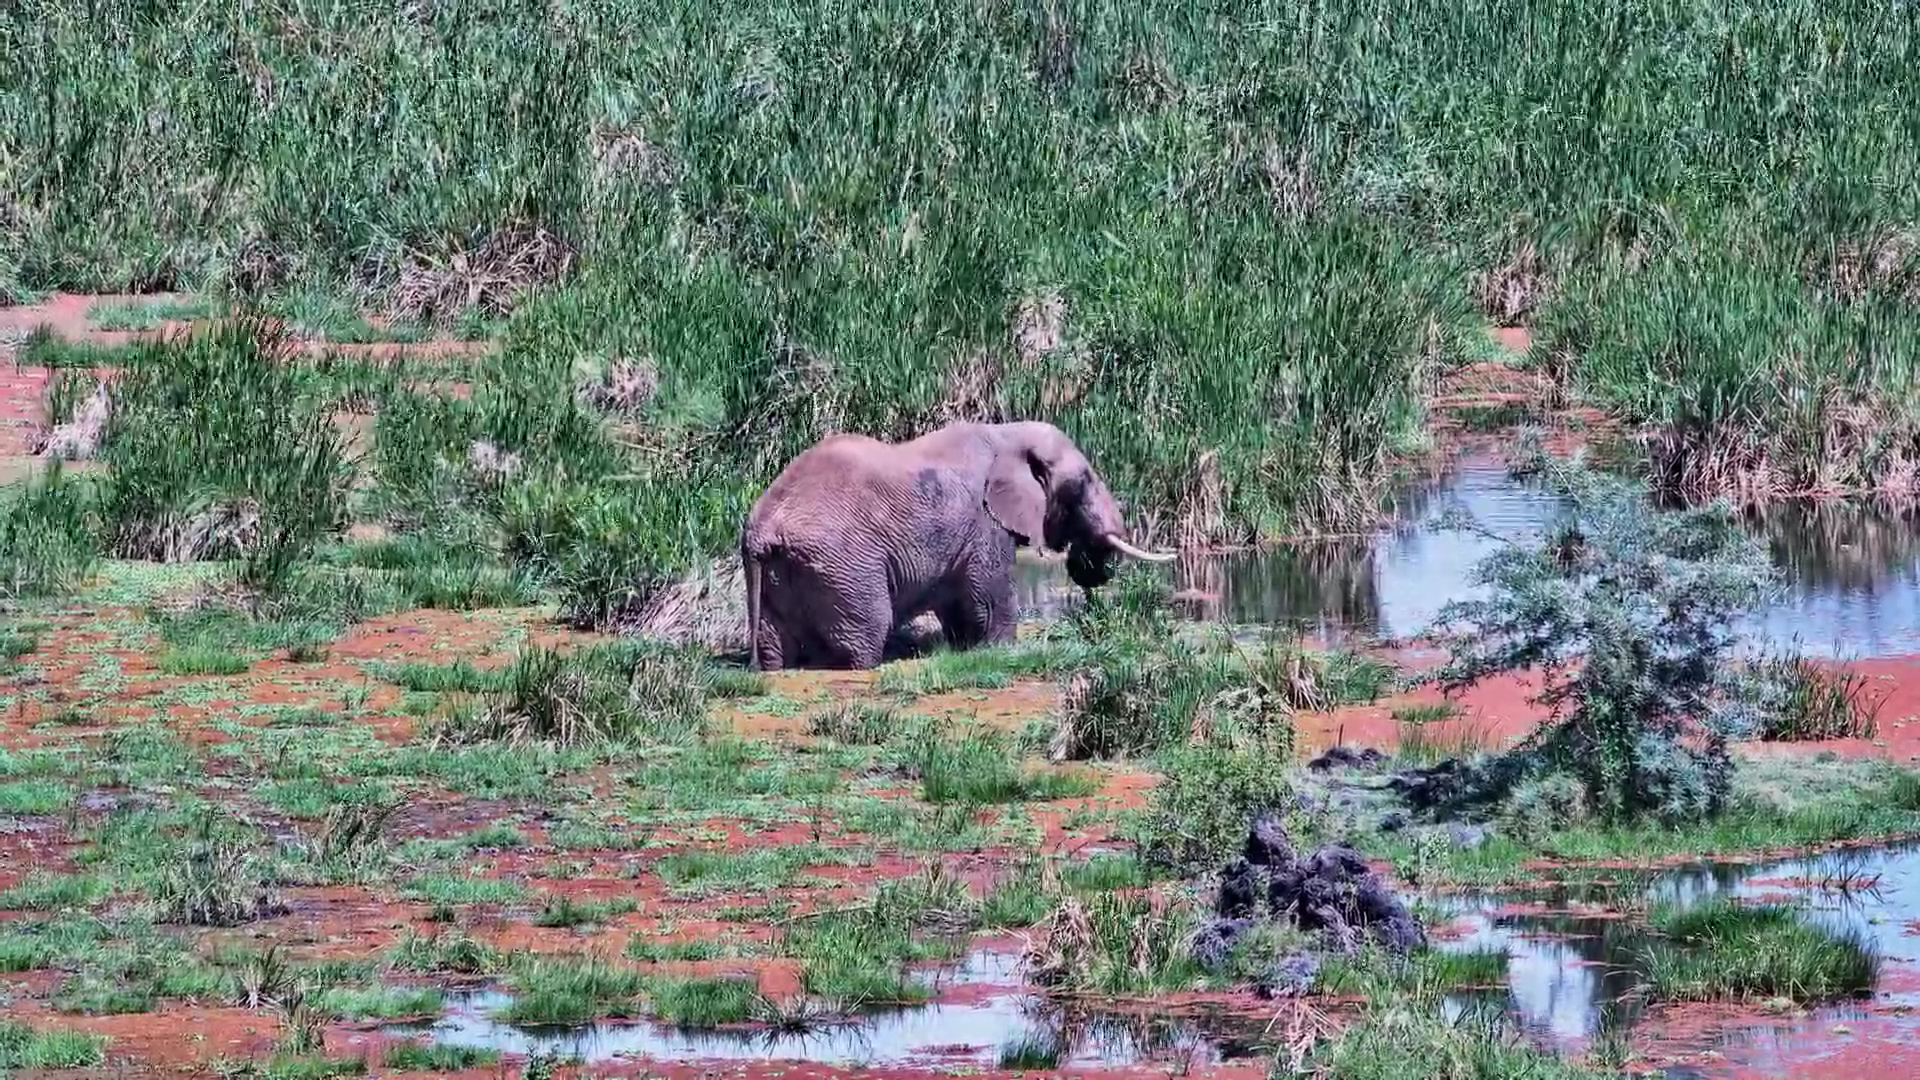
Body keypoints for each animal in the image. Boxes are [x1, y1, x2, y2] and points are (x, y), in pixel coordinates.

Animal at [741, 420, 1174, 671]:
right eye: (1082, 483)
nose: (1087, 567)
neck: (1007, 431)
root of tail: (763, 529)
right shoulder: (985, 523)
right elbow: (989, 598)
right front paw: (1001, 650)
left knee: (774, 644)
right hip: (842, 566)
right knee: (866, 637)